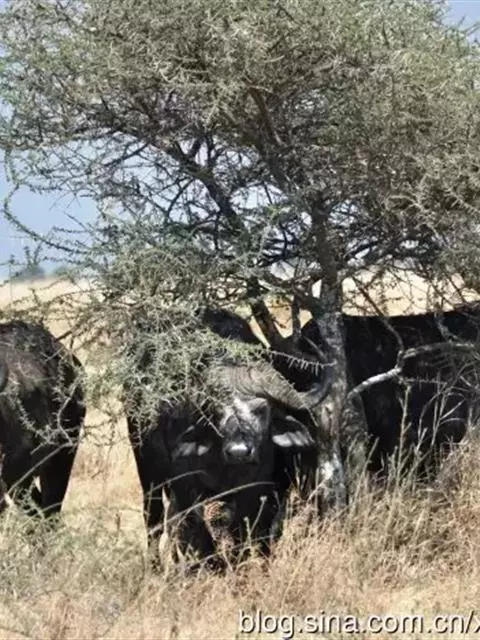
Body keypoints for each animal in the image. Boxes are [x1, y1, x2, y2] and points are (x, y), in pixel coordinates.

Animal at [122, 306, 335, 573]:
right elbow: (201, 536)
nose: (239, 451)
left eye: (261, 409)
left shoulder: (259, 493)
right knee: (155, 519)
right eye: (214, 412)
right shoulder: (187, 488)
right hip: (147, 469)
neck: (228, 470)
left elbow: (244, 534)